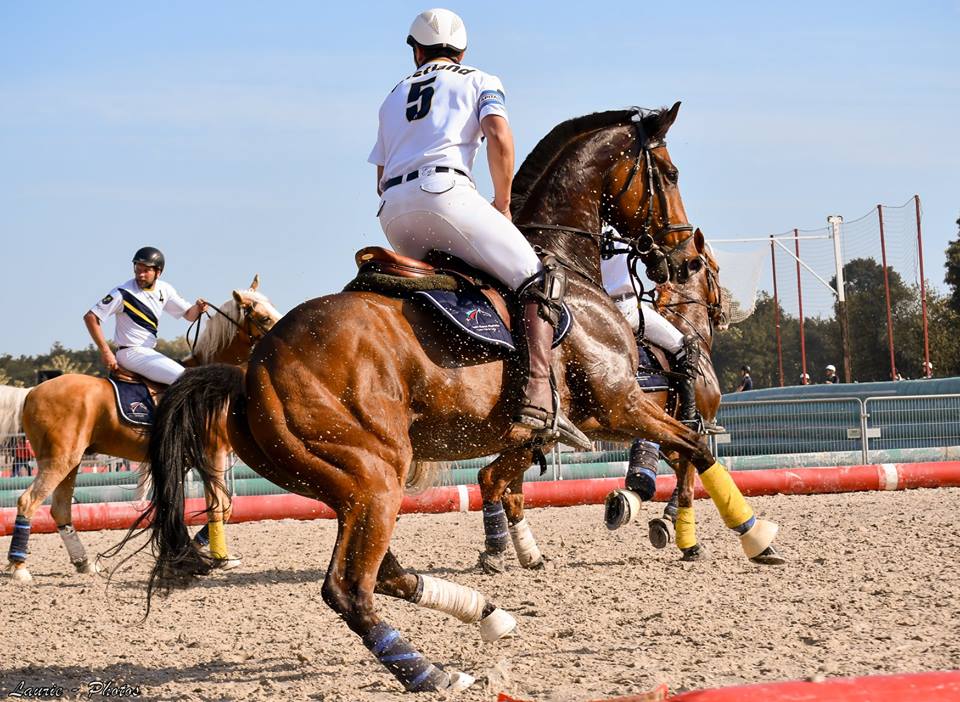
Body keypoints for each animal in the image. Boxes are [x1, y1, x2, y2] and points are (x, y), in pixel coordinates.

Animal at [3, 278, 282, 584]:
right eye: (263, 317)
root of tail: (31, 391)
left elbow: (224, 506)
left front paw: (202, 549)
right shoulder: (214, 452)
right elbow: (220, 506)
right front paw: (220, 557)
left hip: (72, 461)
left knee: (60, 509)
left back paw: (84, 563)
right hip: (58, 460)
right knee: (28, 502)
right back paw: (19, 567)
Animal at [133, 106, 780, 700]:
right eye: (668, 172)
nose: (682, 259)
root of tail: (251, 372)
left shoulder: (594, 418)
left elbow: (681, 452)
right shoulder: (618, 405)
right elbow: (695, 447)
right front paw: (750, 537)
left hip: (345, 485)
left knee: (386, 571)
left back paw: (487, 613)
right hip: (374, 476)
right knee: (349, 587)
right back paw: (429, 669)